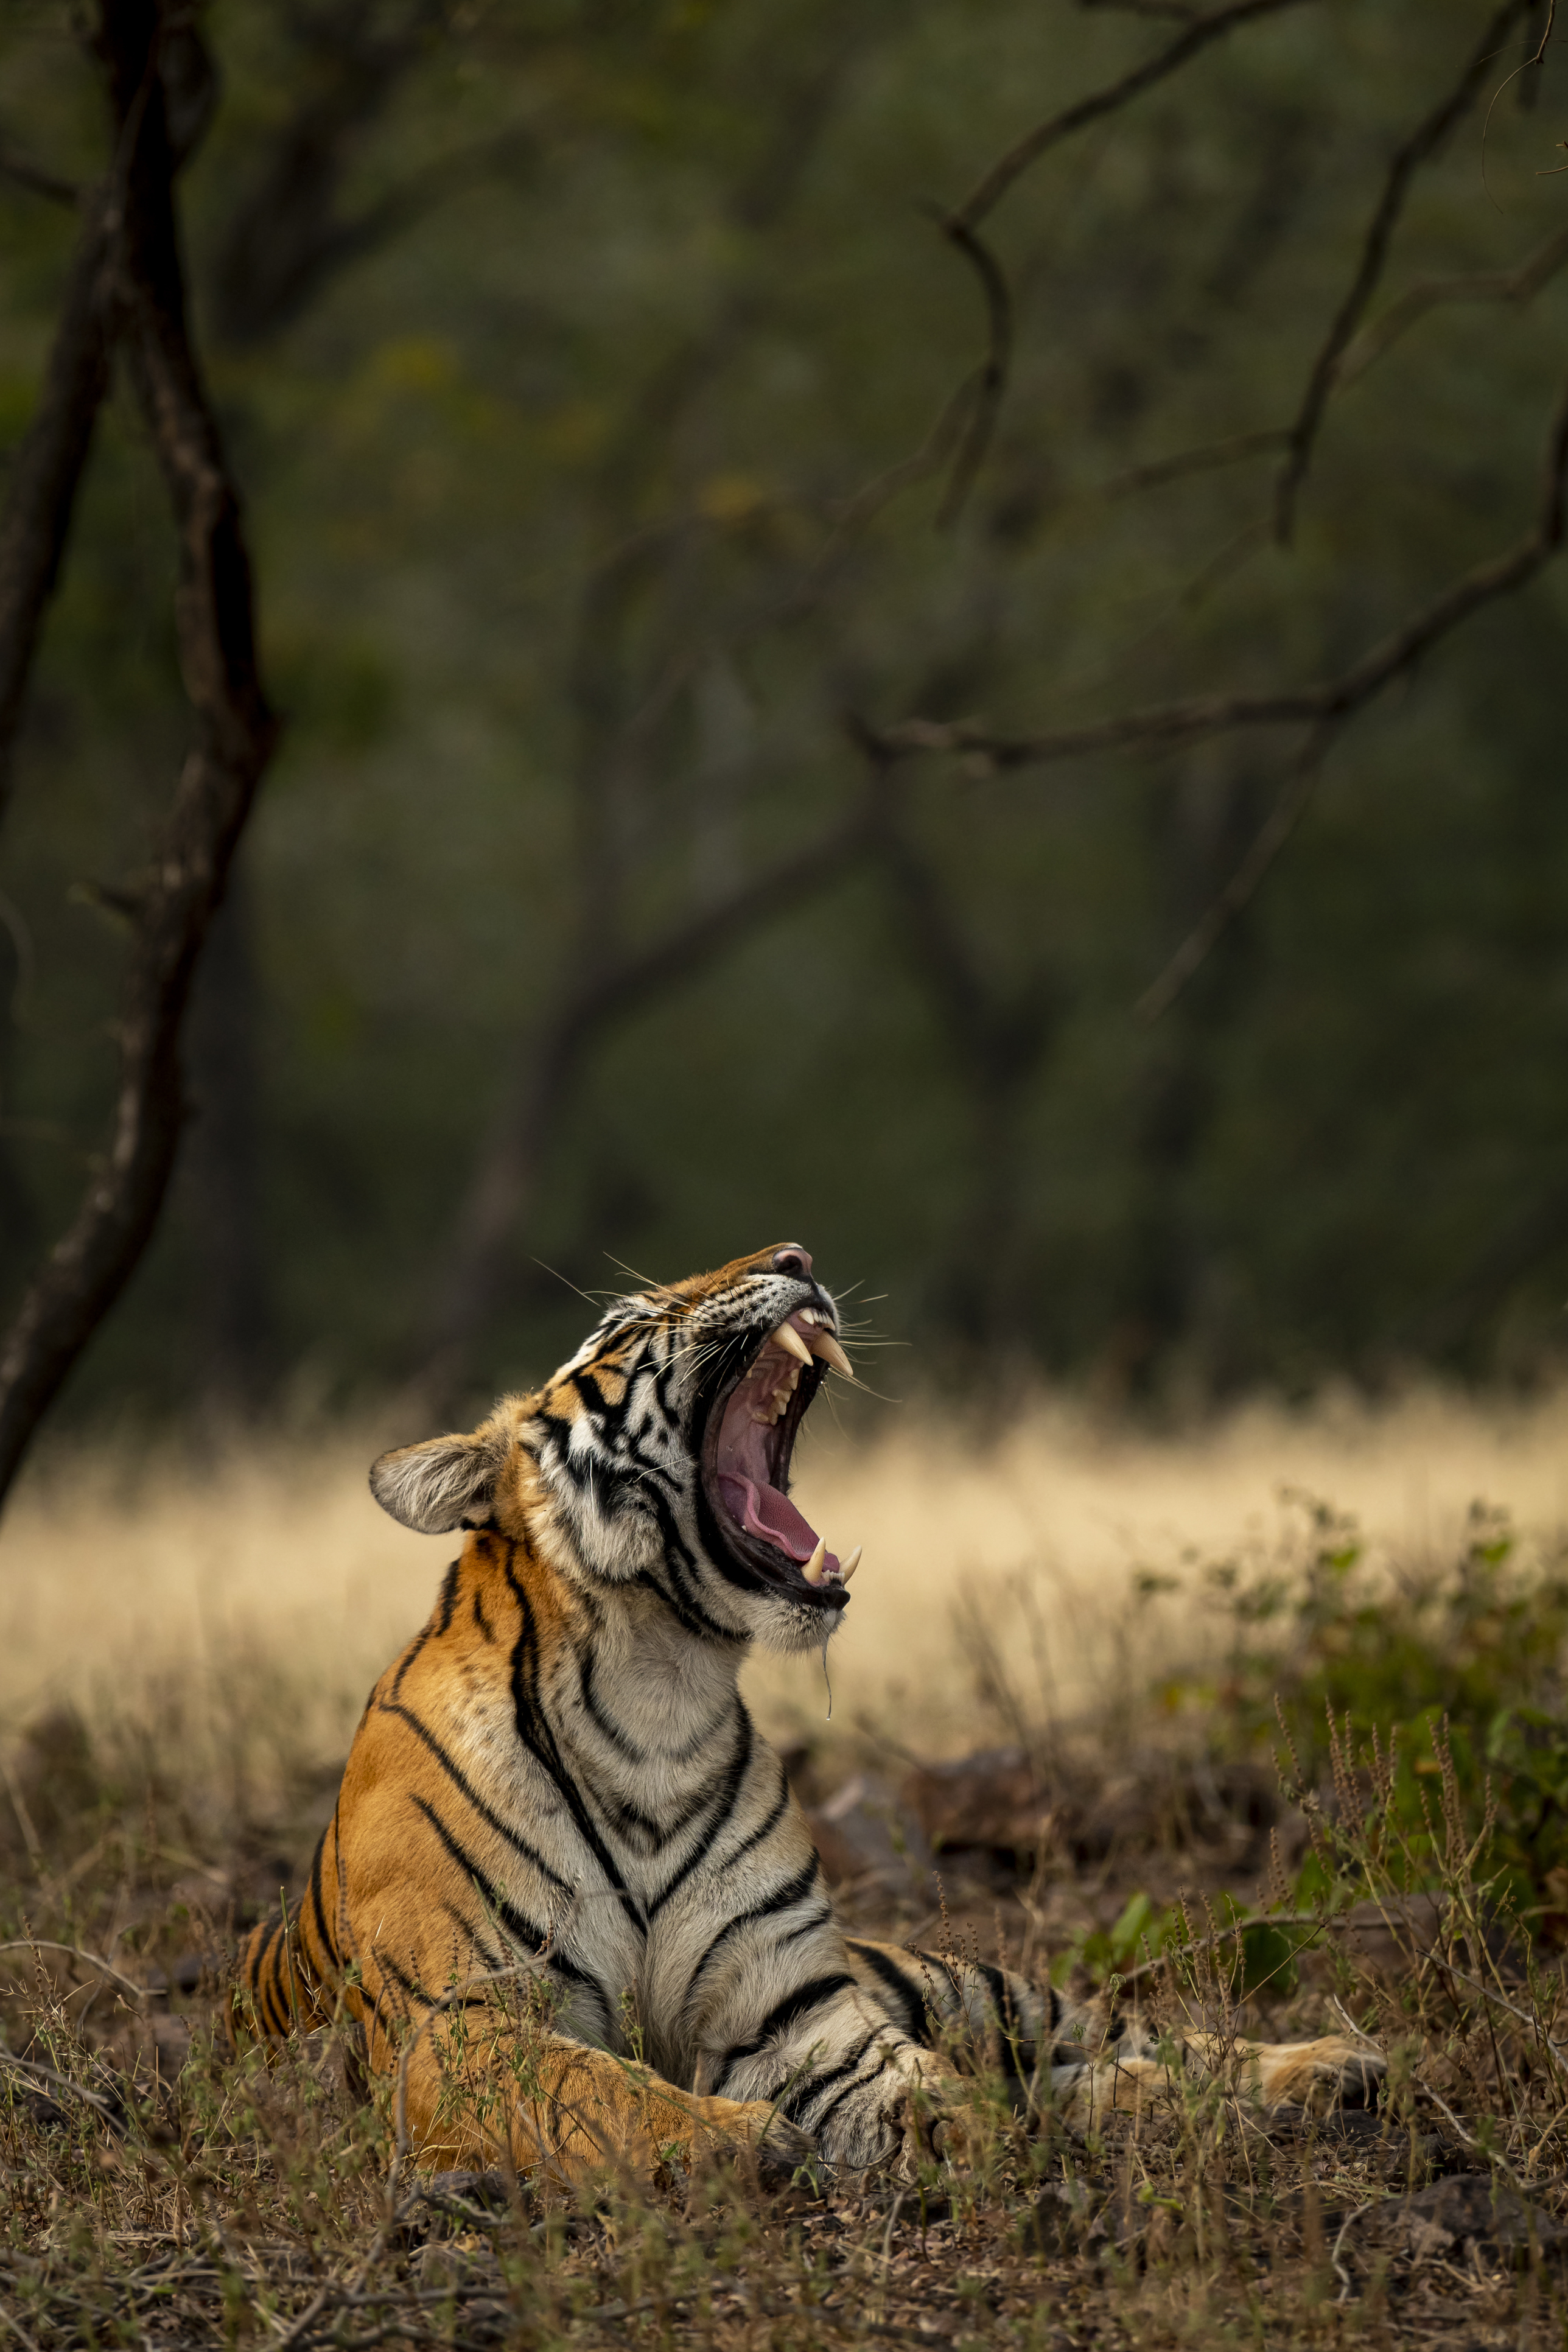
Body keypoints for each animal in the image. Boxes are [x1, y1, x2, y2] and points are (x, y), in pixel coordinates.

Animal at [238, 1243, 1383, 2183]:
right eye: (628, 1319)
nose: (796, 1254)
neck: (657, 1696)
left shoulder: (793, 2012)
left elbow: (915, 2080)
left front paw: (964, 2133)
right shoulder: (459, 2022)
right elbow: (596, 2090)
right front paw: (738, 2143)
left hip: (975, 1983)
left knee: (1134, 2036)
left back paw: (1332, 2067)